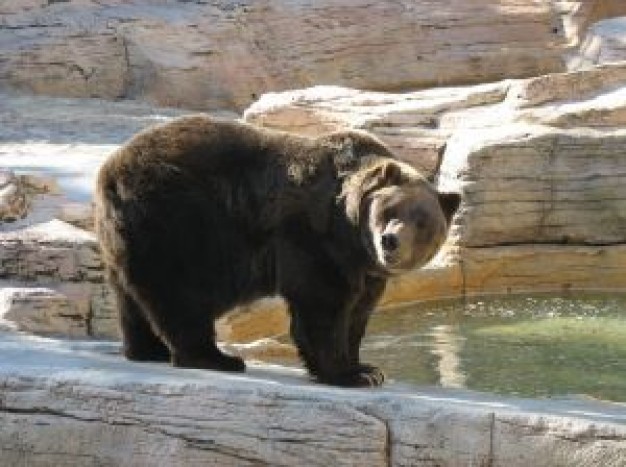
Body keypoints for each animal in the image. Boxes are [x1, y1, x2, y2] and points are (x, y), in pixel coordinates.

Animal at [96, 117, 458, 388]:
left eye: (423, 223)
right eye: (390, 209)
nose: (390, 241)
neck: (352, 236)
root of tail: (111, 170)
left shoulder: (364, 269)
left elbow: (359, 310)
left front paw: (366, 367)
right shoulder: (312, 237)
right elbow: (322, 303)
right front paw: (351, 373)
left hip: (132, 235)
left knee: (130, 295)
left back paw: (146, 350)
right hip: (177, 220)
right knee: (181, 294)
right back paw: (216, 358)